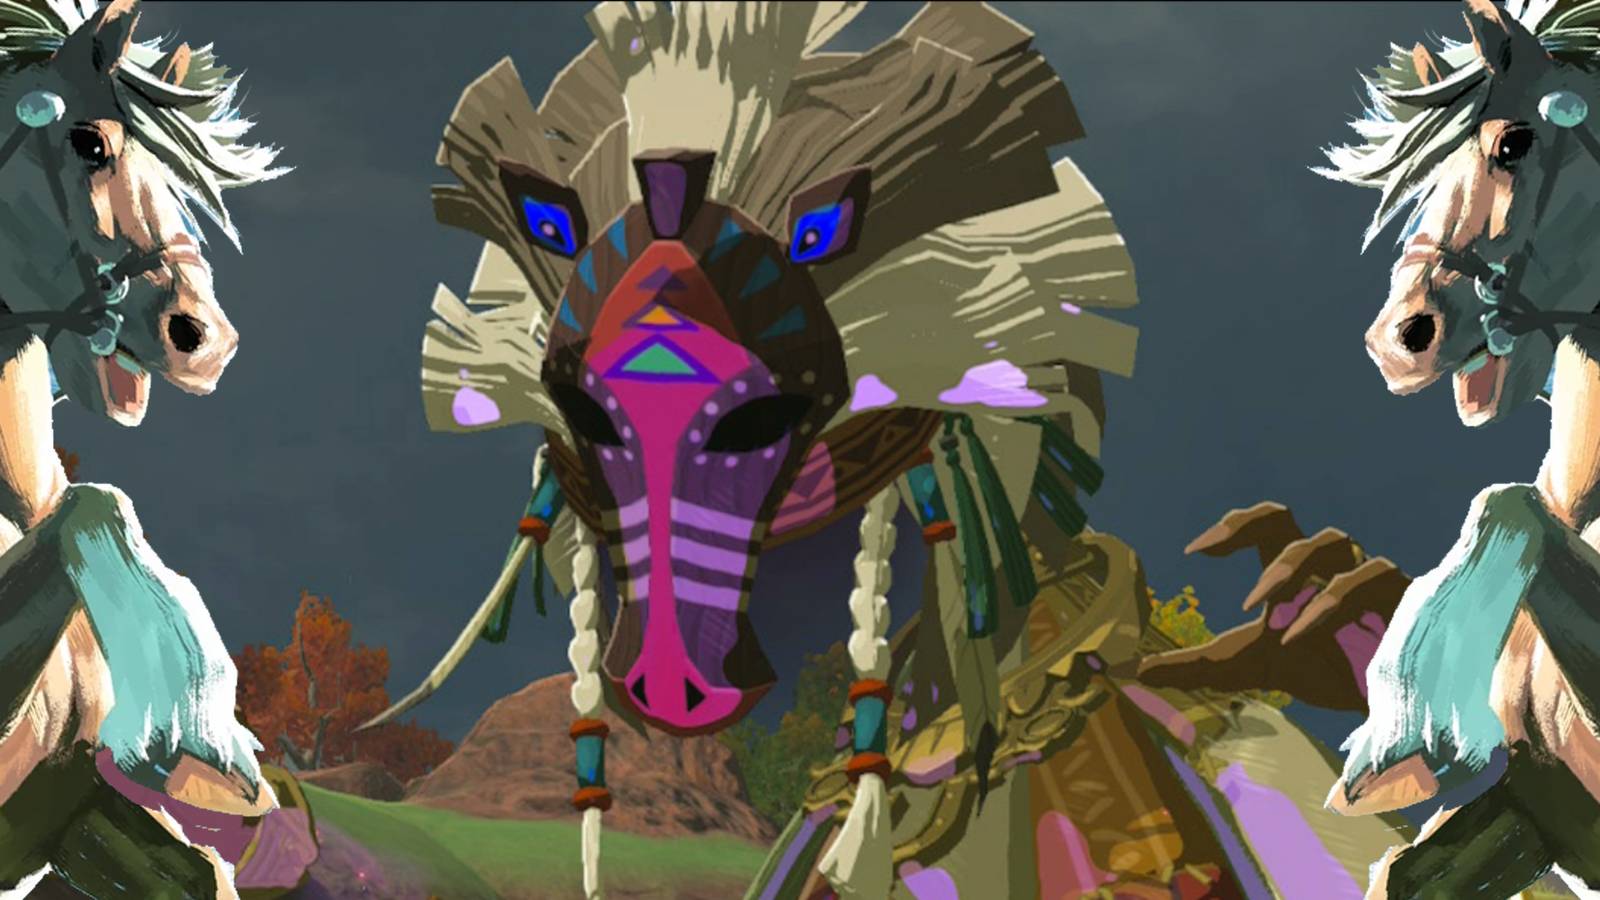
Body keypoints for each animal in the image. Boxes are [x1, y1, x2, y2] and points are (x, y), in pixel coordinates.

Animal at [0, 1, 314, 896]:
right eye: (89, 143)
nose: (205, 339)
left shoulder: (66, 812)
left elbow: (205, 873)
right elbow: (93, 502)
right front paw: (192, 725)